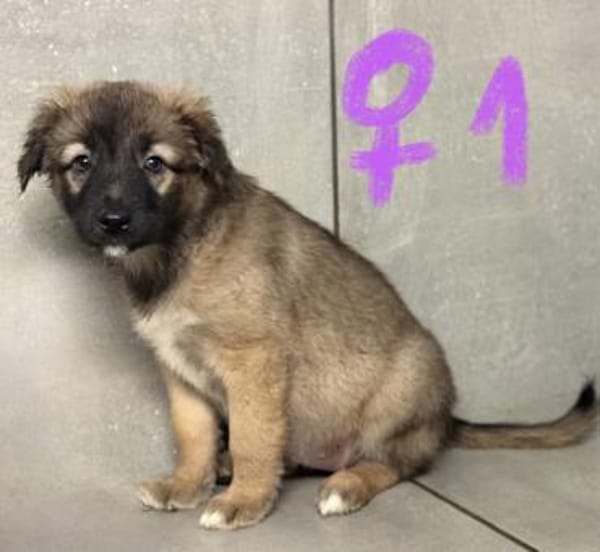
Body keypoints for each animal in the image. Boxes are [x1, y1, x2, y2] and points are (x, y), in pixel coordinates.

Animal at [18, 81, 597, 530]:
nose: (113, 221)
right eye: (81, 162)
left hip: (404, 384)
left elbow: (254, 435)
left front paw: (244, 502)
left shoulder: (253, 360)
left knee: (397, 463)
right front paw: (186, 484)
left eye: (154, 163)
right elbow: (193, 433)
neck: (180, 247)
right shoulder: (178, 369)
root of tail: (445, 420)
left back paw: (347, 485)